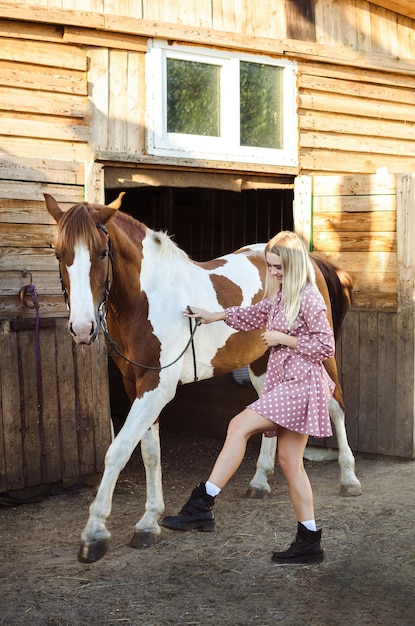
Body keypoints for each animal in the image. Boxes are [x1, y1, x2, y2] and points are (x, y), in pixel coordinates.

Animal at [44, 191, 360, 560]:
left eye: (102, 253)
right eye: (59, 254)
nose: (82, 329)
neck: (149, 299)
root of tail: (308, 260)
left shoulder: (157, 387)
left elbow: (118, 450)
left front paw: (94, 533)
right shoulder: (137, 385)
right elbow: (150, 453)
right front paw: (149, 522)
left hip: (323, 357)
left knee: (336, 407)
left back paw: (349, 479)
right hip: (261, 362)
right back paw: (259, 482)